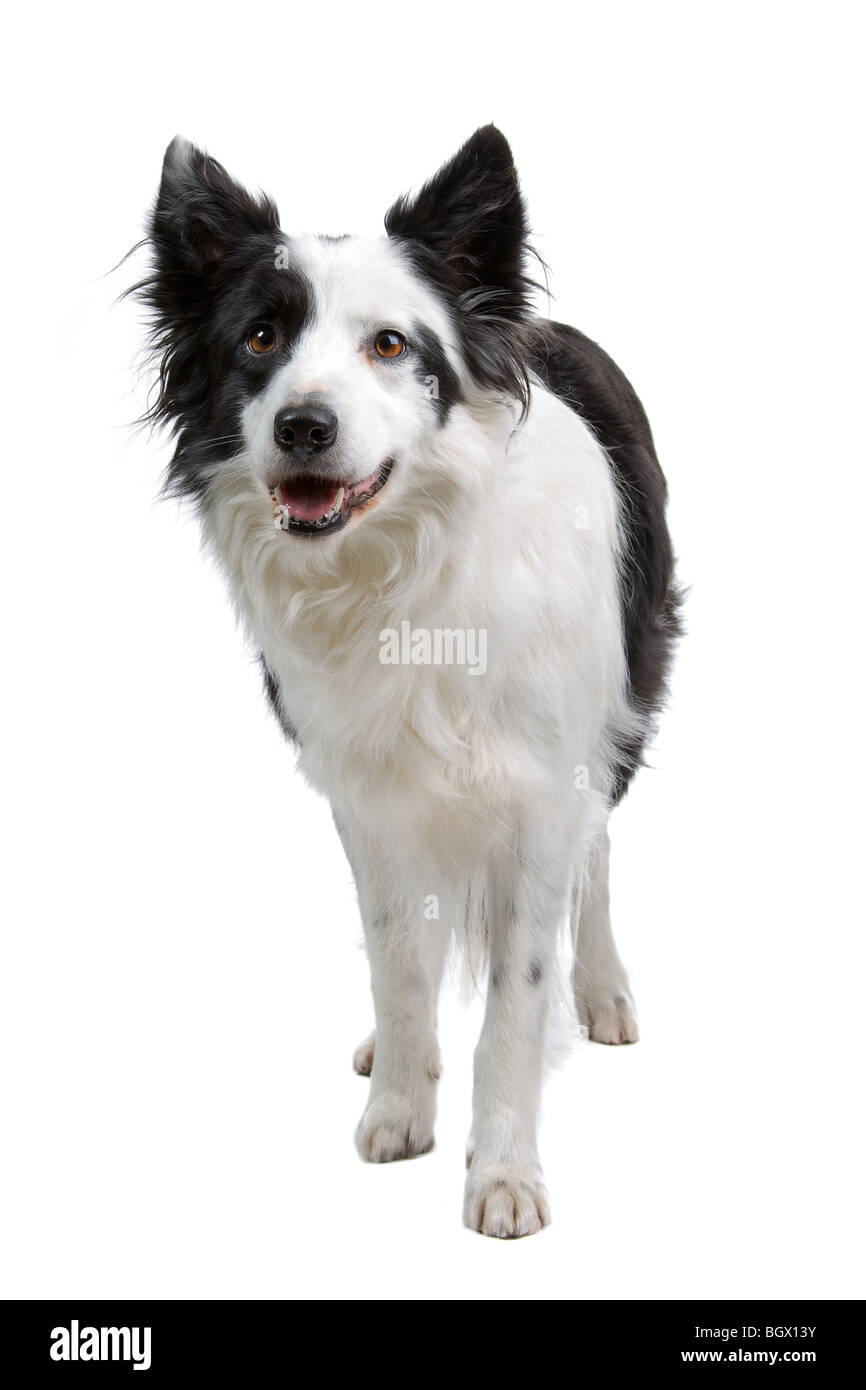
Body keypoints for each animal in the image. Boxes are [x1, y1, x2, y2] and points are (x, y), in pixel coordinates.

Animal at [132, 130, 681, 1239]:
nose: (302, 426)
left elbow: (515, 998)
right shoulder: (365, 790)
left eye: (389, 346)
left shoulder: (542, 790)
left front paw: (503, 1173)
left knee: (599, 856)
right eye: (259, 338)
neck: (406, 577)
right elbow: (396, 958)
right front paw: (400, 1102)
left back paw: (602, 990)